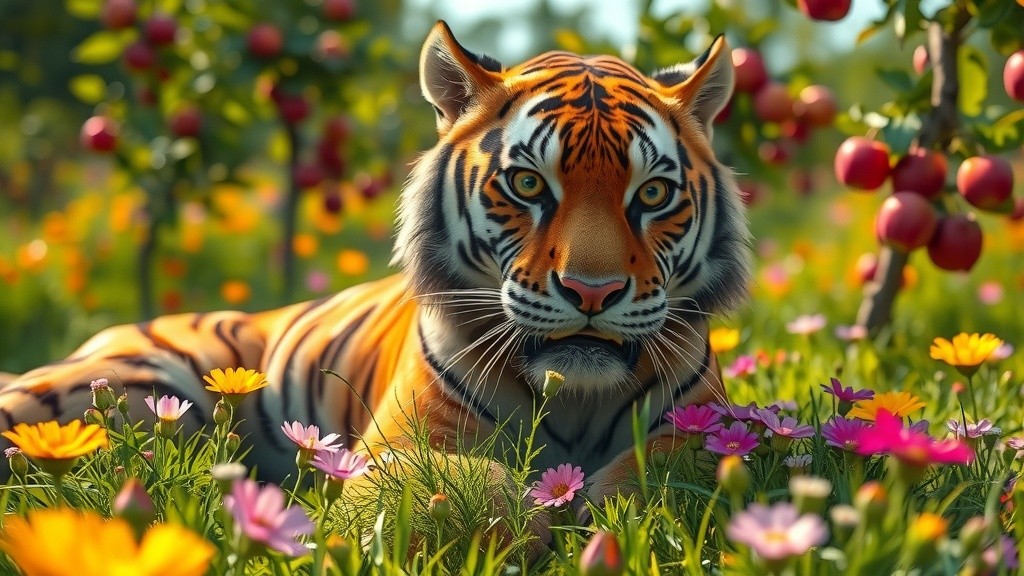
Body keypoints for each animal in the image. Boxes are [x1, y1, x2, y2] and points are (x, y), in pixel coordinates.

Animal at [0, 21, 749, 507]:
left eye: (651, 194)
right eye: (528, 184)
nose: (592, 292)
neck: (573, 398)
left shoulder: (705, 422)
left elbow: (665, 474)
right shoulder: (404, 437)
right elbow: (456, 483)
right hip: (126, 388)